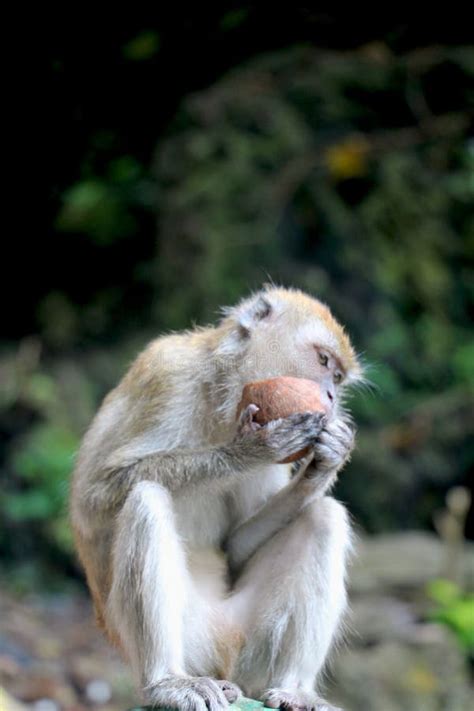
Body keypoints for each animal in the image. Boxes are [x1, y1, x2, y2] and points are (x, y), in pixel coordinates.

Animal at [68, 286, 362, 711]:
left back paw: (295, 689)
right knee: (146, 500)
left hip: (252, 643)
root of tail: (222, 655)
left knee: (325, 517)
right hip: (191, 638)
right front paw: (248, 451)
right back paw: (168, 682)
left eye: (338, 377)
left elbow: (234, 545)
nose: (332, 397)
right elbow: (91, 501)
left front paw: (326, 462)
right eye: (323, 361)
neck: (222, 397)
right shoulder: (165, 374)